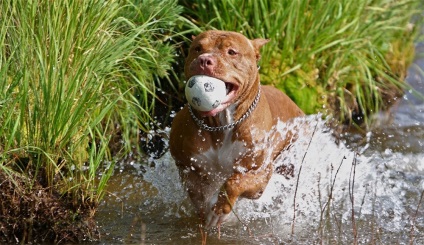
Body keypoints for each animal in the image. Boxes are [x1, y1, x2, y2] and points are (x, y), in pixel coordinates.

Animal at [169, 30, 304, 228]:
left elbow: (234, 183)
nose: (204, 60)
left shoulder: (260, 175)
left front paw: (218, 210)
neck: (222, 123)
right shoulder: (187, 166)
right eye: (198, 48)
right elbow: (199, 194)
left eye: (232, 52)